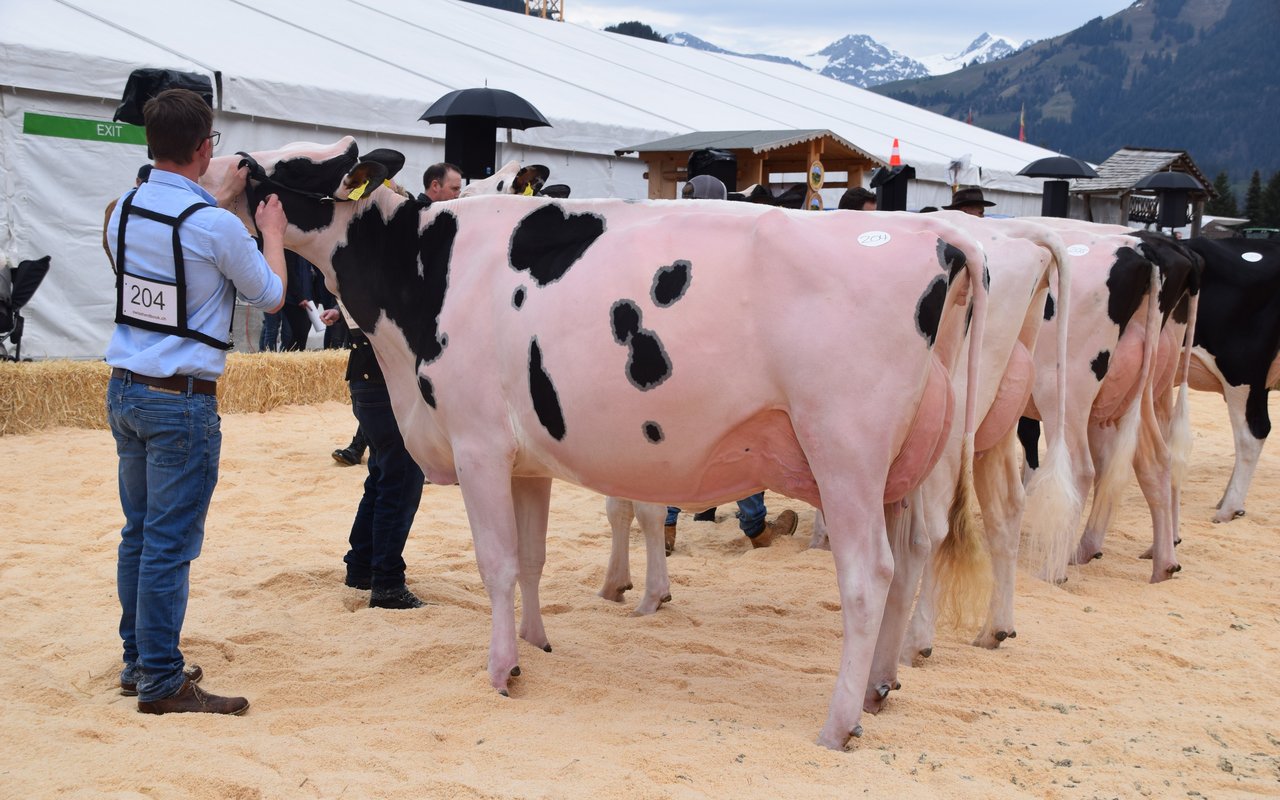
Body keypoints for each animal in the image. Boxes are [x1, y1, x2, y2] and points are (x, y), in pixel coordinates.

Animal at [204, 137, 993, 749]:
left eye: (268, 167)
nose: (212, 172)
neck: (424, 275)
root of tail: (935, 237)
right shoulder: (525, 459)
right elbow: (530, 558)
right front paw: (535, 643)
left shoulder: (478, 443)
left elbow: (496, 563)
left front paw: (502, 671)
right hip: (906, 464)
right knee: (913, 556)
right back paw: (880, 688)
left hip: (845, 452)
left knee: (869, 576)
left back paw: (837, 723)